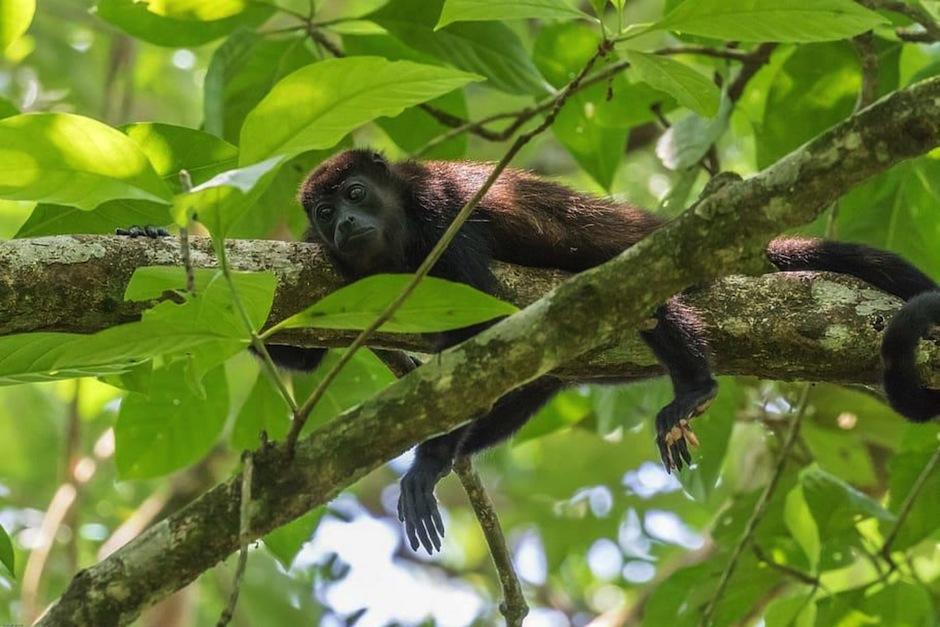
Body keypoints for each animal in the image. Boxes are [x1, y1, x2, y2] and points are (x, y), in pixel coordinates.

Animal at [253, 148, 940, 555]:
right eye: (324, 210)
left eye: (356, 194)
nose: (343, 224)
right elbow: (302, 356)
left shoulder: (443, 214)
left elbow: (484, 325)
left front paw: (425, 459)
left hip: (654, 253)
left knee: (636, 288)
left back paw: (694, 387)